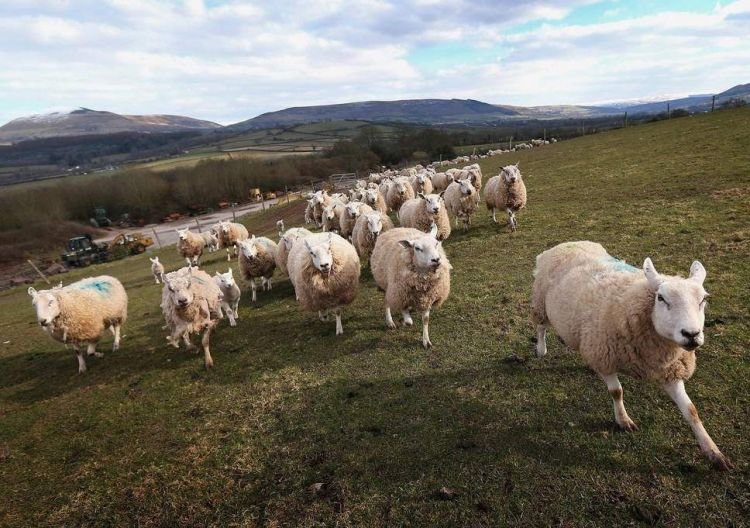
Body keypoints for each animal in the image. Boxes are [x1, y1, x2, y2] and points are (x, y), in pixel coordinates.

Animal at [531, 242, 733, 470]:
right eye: (661, 298)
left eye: (704, 299)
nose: (691, 334)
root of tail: (568, 243)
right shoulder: (605, 356)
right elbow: (616, 391)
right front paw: (623, 420)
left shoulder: (670, 370)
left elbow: (691, 411)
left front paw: (713, 452)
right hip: (540, 303)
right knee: (540, 327)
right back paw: (541, 349)